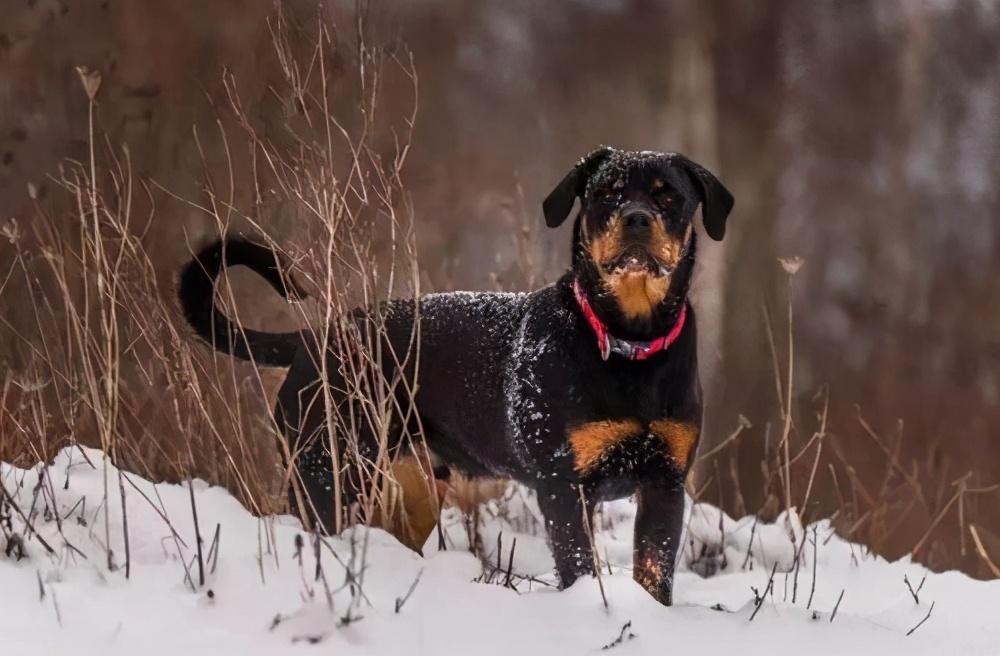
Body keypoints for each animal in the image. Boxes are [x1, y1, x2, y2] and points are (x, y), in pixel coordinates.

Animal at [176, 145, 732, 604]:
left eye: (668, 196)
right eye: (606, 193)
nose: (636, 219)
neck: (627, 343)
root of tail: (315, 337)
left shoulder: (664, 482)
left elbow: (655, 574)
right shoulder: (562, 484)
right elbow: (578, 566)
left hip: (412, 487)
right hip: (326, 471)